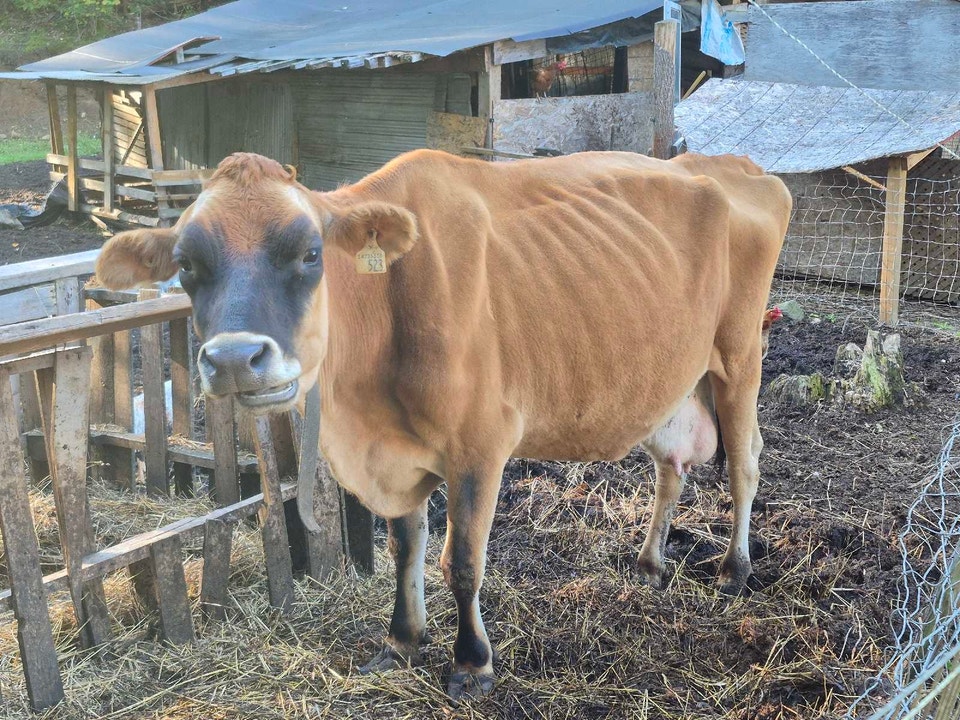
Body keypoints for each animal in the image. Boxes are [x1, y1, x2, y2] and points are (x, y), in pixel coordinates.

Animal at [94, 149, 791, 701]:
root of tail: (738, 167)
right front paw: (401, 640)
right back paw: (649, 564)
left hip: (739, 357)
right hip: (670, 377)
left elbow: (462, 560)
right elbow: (406, 547)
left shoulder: (480, 444)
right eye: (186, 264)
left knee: (746, 461)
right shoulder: (396, 456)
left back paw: (734, 569)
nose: (237, 358)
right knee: (671, 466)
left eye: (311, 253)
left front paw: (471, 662)